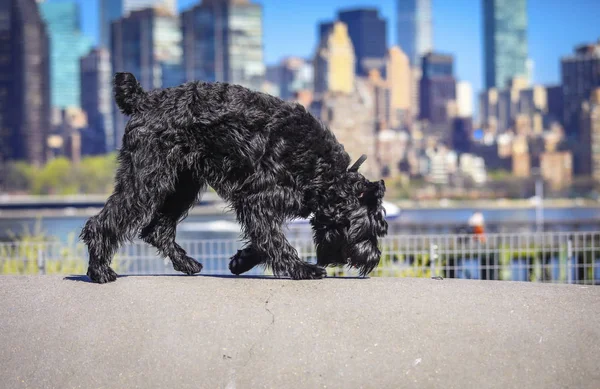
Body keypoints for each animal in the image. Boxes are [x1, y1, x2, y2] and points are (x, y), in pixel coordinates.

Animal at [79, 72, 386, 282]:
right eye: (371, 231)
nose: (374, 259)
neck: (326, 175)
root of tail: (144, 100)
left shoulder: (256, 203)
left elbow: (263, 239)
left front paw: (240, 261)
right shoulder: (257, 199)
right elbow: (273, 239)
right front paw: (301, 268)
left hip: (181, 185)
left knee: (157, 229)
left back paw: (186, 263)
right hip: (148, 180)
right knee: (103, 222)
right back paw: (99, 270)